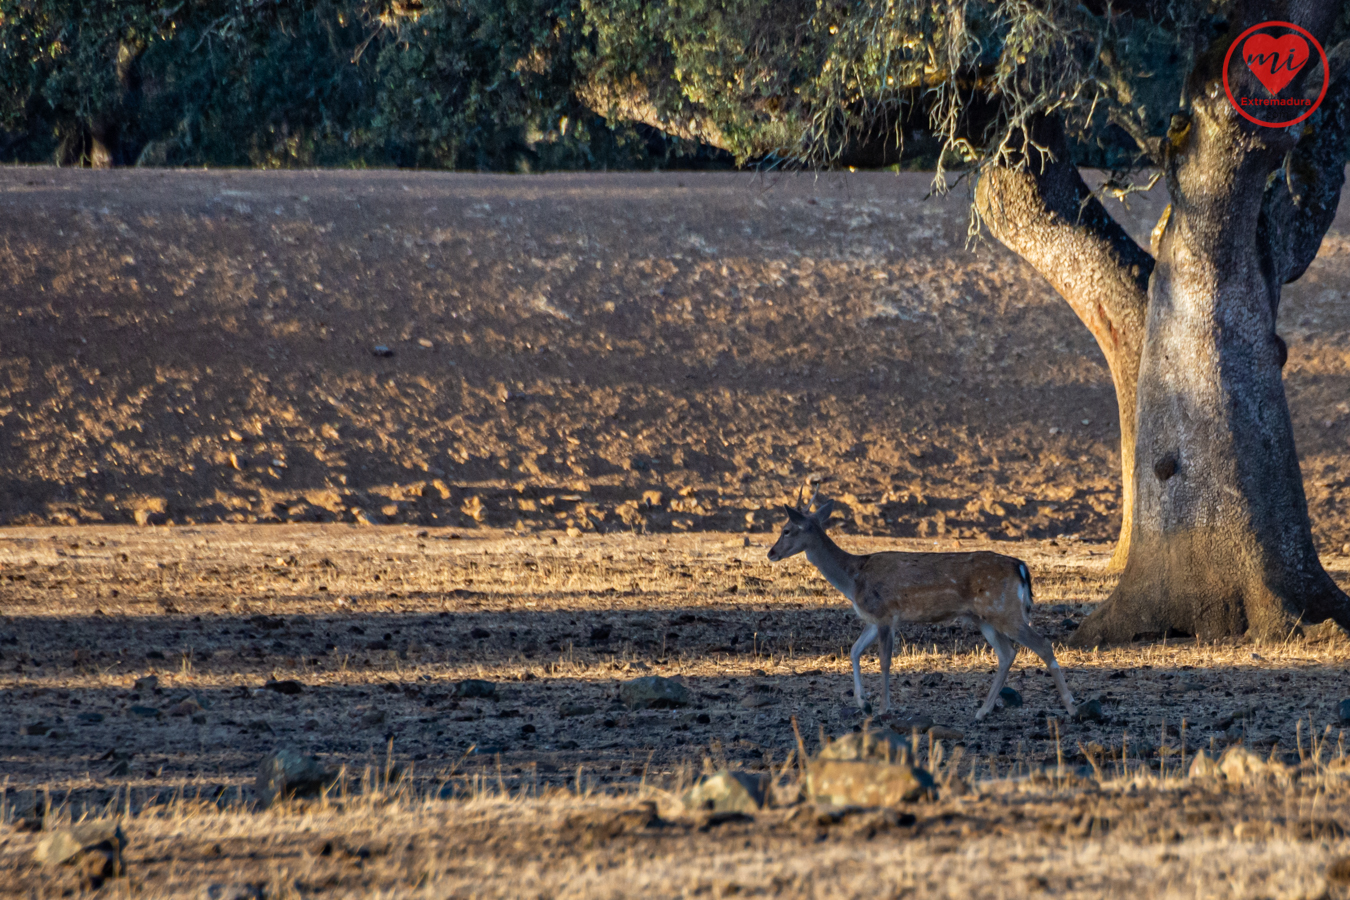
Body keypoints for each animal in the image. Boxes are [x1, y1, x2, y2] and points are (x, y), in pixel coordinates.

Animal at [772, 493, 1074, 717]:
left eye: (786, 530)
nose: (771, 553)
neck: (853, 578)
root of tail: (1021, 567)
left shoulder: (885, 614)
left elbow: (884, 661)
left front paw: (883, 708)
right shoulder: (873, 618)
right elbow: (854, 651)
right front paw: (863, 702)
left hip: (1004, 610)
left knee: (1042, 644)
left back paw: (1071, 706)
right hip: (984, 617)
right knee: (1007, 653)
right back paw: (982, 711)